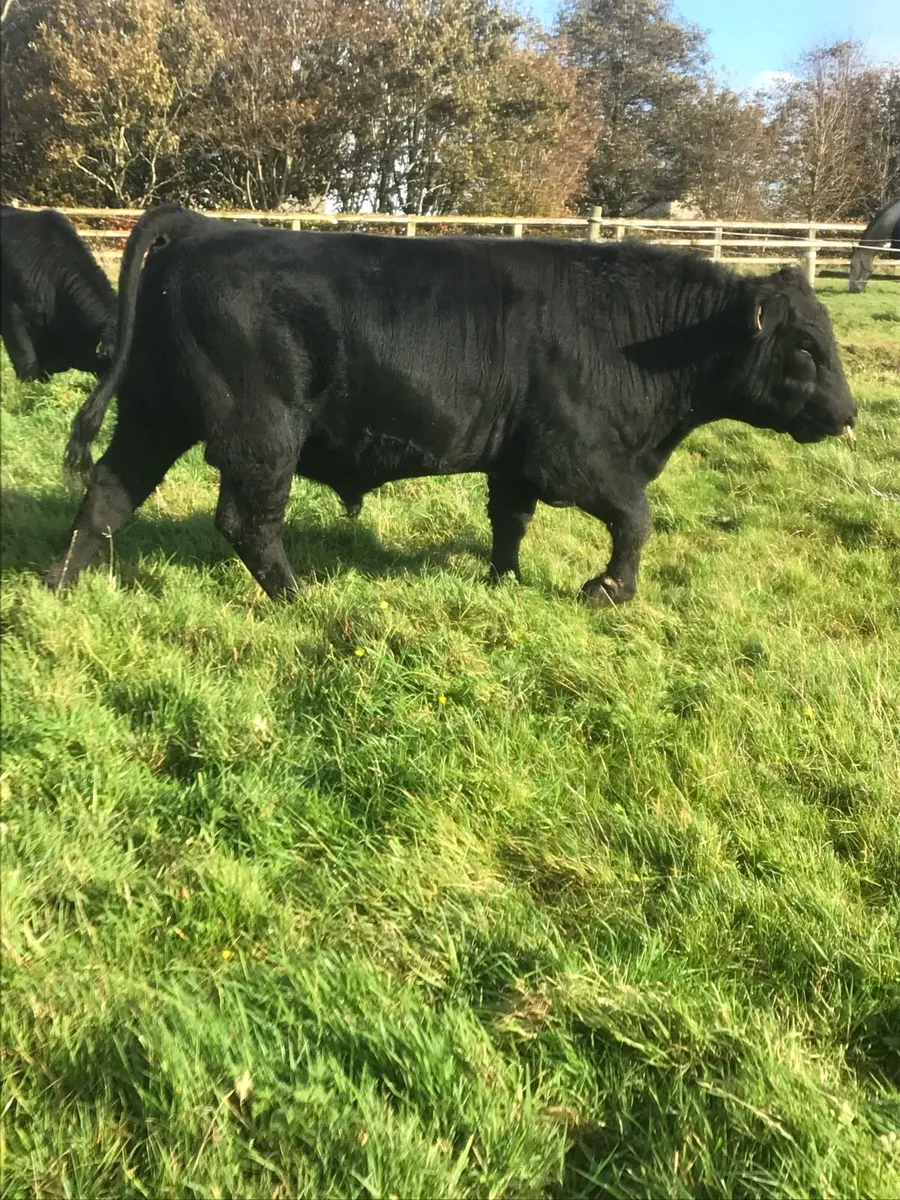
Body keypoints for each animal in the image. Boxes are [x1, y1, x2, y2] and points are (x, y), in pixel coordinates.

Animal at [45, 203, 857, 607]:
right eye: (805, 348)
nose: (848, 414)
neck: (633, 332)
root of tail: (204, 226)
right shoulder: (575, 456)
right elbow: (636, 518)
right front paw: (609, 590)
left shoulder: (519, 459)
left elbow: (511, 522)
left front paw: (505, 583)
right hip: (261, 430)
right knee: (247, 520)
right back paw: (300, 599)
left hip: (155, 413)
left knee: (108, 495)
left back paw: (58, 587)